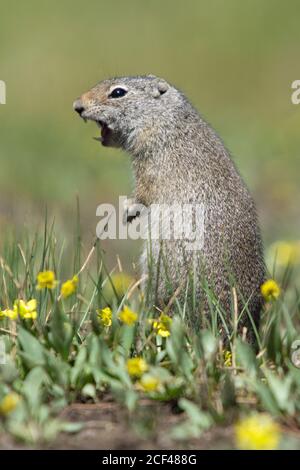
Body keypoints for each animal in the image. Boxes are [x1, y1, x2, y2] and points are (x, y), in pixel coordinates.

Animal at [74, 73, 266, 342]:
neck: (166, 121)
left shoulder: (150, 165)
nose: (77, 106)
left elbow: (143, 193)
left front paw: (128, 211)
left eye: (118, 93)